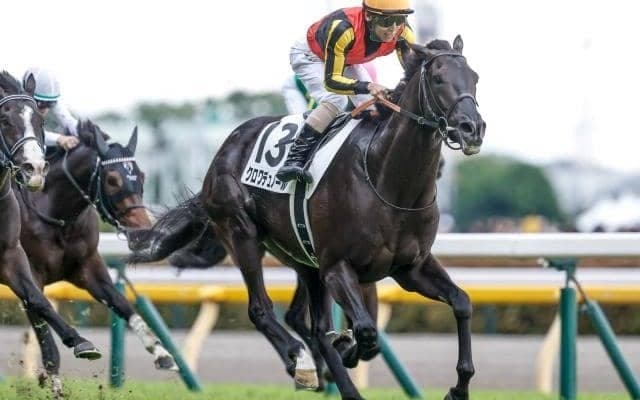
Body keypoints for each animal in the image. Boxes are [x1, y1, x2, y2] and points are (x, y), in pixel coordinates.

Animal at [0, 72, 101, 379]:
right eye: (4, 120)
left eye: (40, 121)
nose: (33, 168)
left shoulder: (11, 255)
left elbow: (36, 299)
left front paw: (80, 342)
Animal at [15, 119, 177, 396]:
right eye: (112, 179)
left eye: (142, 176)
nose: (143, 233)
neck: (56, 214)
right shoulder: (29, 276)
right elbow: (45, 335)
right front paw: (56, 386)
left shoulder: (87, 268)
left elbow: (122, 303)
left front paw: (161, 353)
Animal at [131, 36, 484, 400]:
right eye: (438, 78)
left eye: (475, 78)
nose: (473, 128)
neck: (388, 180)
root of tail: (223, 152)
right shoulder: (337, 267)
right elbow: (365, 331)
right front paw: (343, 349)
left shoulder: (410, 268)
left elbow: (461, 302)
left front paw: (458, 388)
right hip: (242, 233)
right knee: (263, 310)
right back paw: (302, 362)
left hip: (303, 259)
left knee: (309, 323)